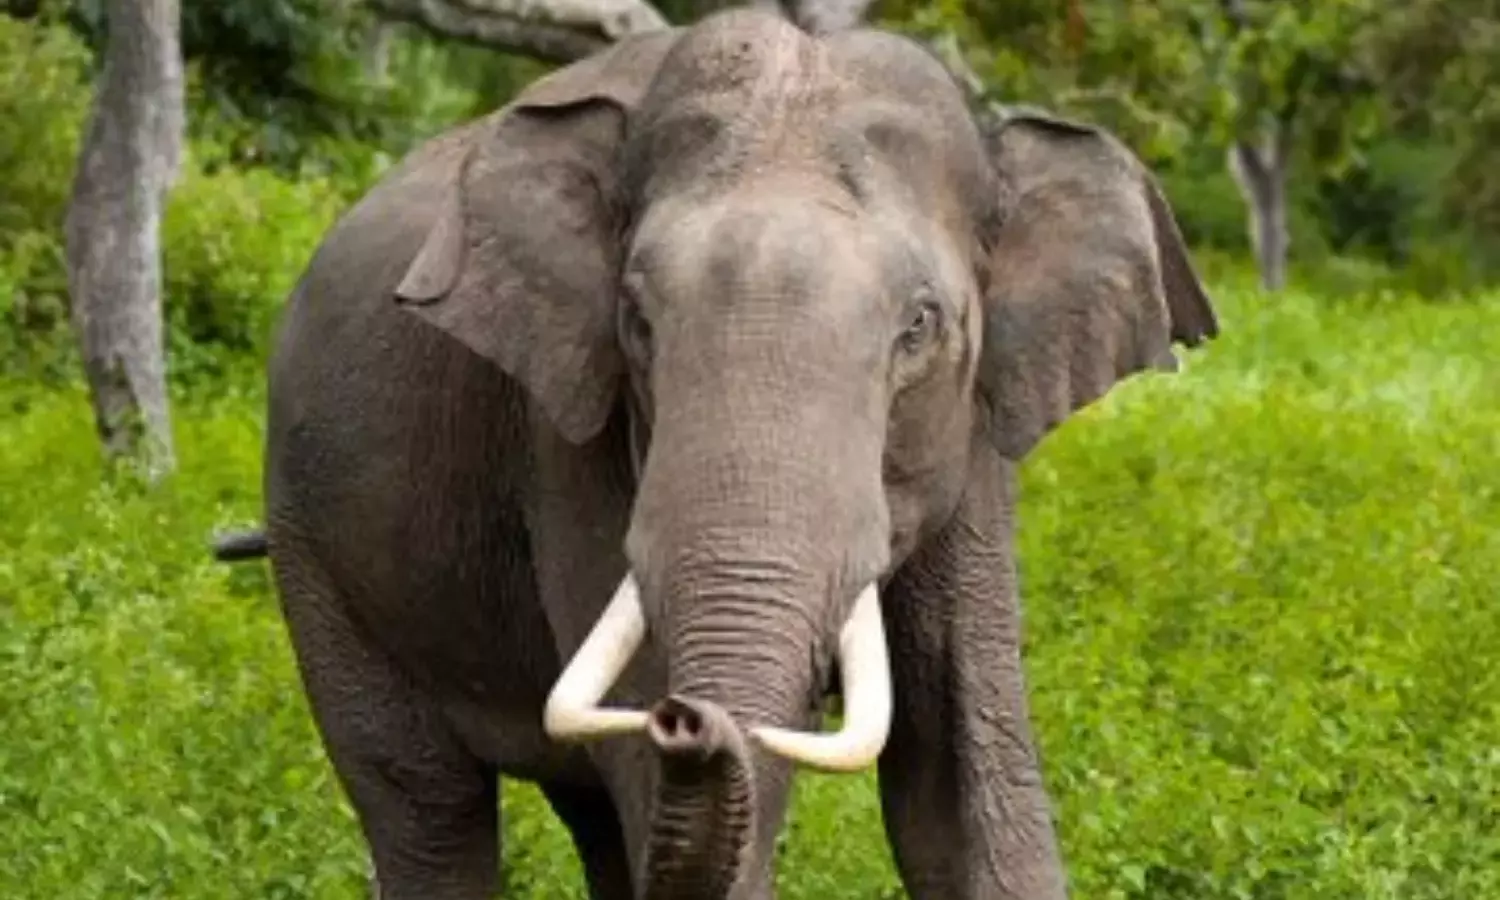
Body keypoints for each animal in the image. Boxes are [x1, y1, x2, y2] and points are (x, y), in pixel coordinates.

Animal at [215, 8, 1218, 900]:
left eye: (920, 327)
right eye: (636, 318)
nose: (686, 717)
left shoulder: (973, 440)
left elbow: (959, 776)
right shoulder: (566, 435)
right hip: (313, 548)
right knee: (425, 806)